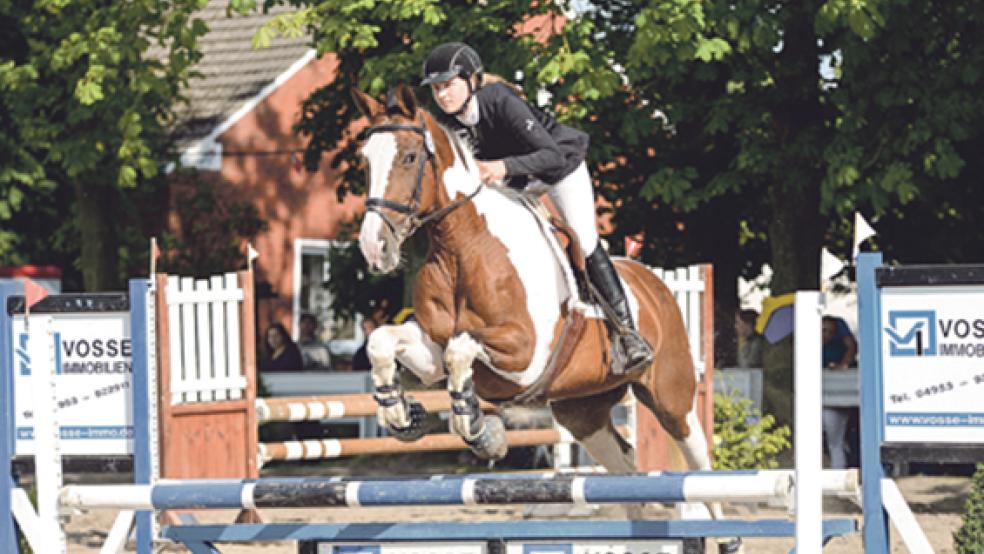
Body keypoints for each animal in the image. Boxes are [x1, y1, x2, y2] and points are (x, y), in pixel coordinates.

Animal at [354, 83, 736, 548]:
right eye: (365, 159)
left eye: (410, 157)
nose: (374, 247)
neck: (464, 246)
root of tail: (658, 283)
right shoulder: (430, 351)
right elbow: (384, 342)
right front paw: (400, 414)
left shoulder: (526, 353)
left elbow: (462, 348)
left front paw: (481, 430)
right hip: (582, 413)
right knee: (627, 468)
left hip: (671, 398)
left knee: (699, 463)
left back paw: (728, 536)